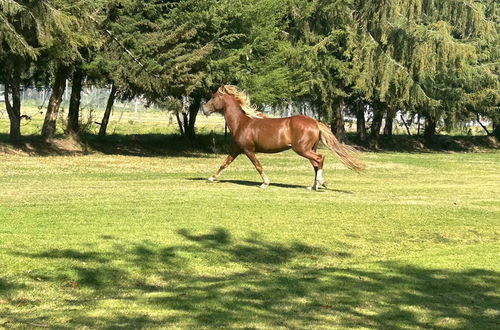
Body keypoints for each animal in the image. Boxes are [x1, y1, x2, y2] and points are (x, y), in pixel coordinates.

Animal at [201, 85, 366, 191]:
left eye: (213, 97)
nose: (204, 109)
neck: (242, 122)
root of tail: (315, 122)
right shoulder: (236, 149)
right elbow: (225, 163)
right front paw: (211, 178)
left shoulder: (248, 150)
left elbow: (257, 165)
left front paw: (264, 183)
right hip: (309, 149)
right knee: (316, 163)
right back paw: (313, 186)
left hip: (302, 149)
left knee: (320, 159)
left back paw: (320, 182)